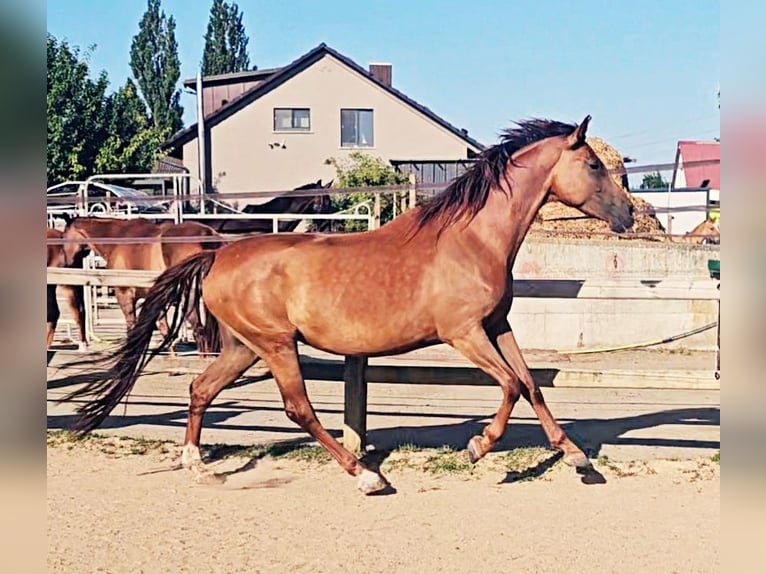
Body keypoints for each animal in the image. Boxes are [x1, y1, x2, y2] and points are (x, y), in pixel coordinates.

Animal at [59, 217, 222, 354]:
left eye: (63, 237)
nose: (66, 263)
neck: (118, 240)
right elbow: (165, 330)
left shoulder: (124, 295)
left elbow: (132, 328)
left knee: (199, 331)